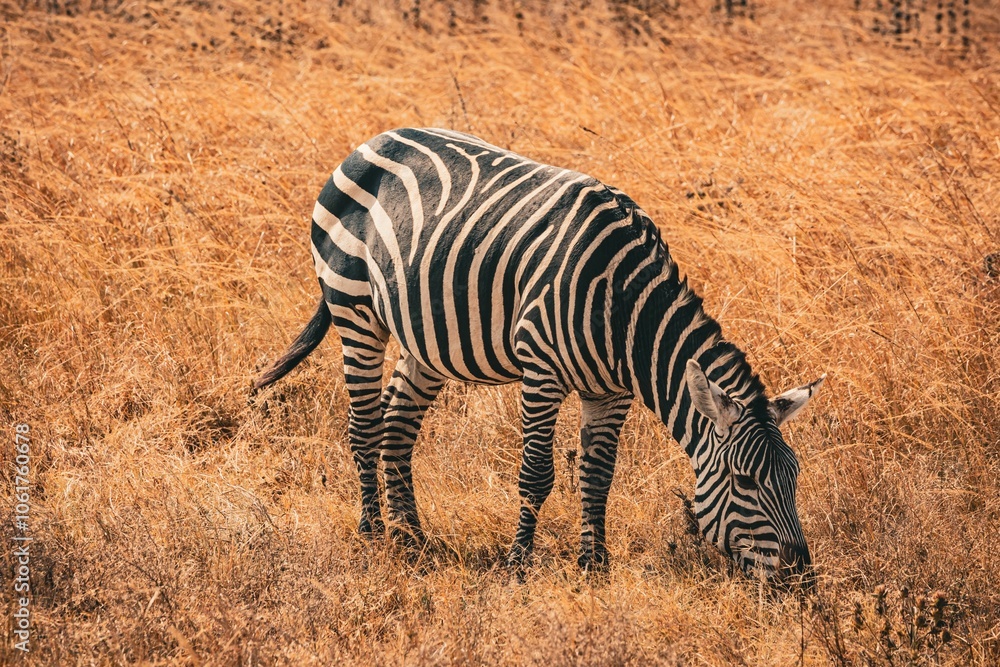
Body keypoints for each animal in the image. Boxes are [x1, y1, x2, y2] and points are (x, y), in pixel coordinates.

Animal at [252, 127, 825, 580]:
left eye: (795, 477)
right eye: (745, 481)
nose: (801, 575)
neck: (623, 309)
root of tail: (372, 140)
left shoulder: (611, 392)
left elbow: (597, 476)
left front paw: (594, 567)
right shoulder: (541, 370)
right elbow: (537, 474)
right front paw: (519, 565)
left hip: (425, 337)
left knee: (396, 425)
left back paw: (412, 537)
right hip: (354, 306)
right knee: (365, 424)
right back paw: (373, 533)